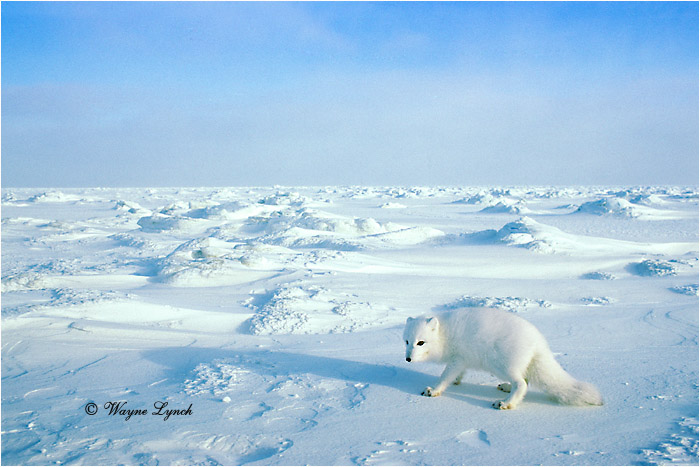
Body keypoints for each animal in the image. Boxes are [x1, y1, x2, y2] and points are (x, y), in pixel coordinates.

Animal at [403, 307, 603, 410]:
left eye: (421, 342)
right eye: (406, 341)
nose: (408, 360)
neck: (445, 335)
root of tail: (538, 340)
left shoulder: (457, 359)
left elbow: (444, 376)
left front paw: (434, 390)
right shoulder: (462, 361)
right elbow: (457, 375)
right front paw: (456, 382)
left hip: (503, 365)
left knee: (522, 384)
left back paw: (507, 403)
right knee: (525, 380)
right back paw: (506, 388)